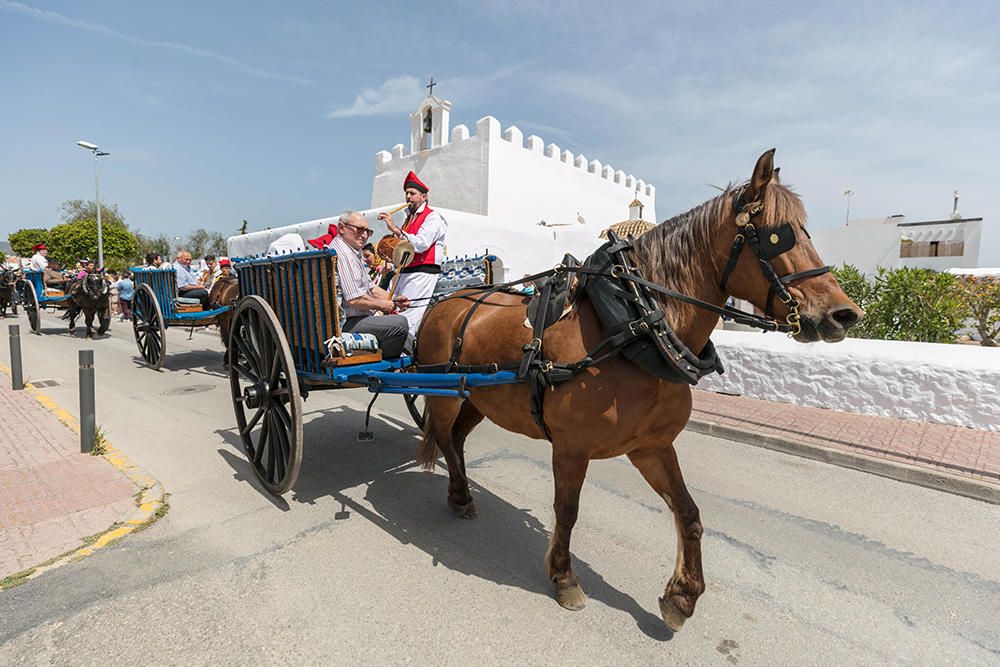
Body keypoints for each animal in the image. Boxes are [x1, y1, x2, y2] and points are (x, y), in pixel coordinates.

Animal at [410, 149, 864, 636]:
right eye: (777, 234)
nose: (844, 314)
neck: (635, 323)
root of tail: (444, 302)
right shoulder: (571, 447)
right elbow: (567, 510)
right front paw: (564, 577)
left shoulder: (652, 446)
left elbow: (689, 514)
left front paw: (683, 595)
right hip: (442, 393)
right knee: (444, 438)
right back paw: (460, 494)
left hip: (479, 398)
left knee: (456, 439)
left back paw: (460, 492)